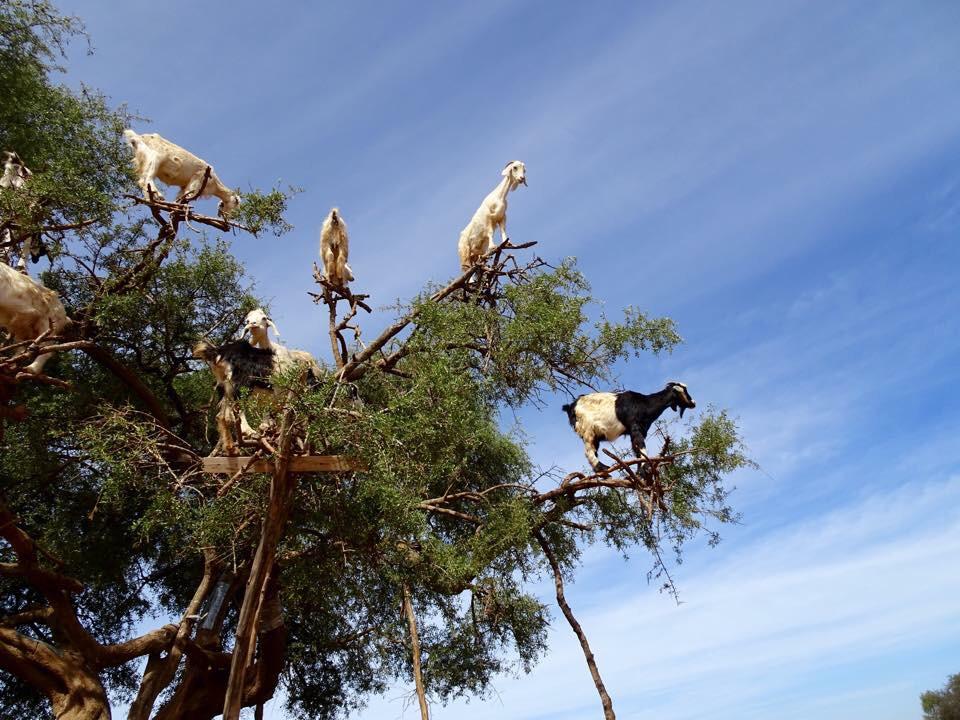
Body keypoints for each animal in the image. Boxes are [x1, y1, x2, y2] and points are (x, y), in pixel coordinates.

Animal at [562, 381, 696, 472]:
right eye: (684, 391)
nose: (693, 403)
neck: (644, 404)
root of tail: (571, 406)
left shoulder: (640, 430)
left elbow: (636, 449)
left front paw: (640, 470)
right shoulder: (635, 427)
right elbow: (640, 445)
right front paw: (645, 467)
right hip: (588, 430)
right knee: (589, 450)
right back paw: (602, 468)